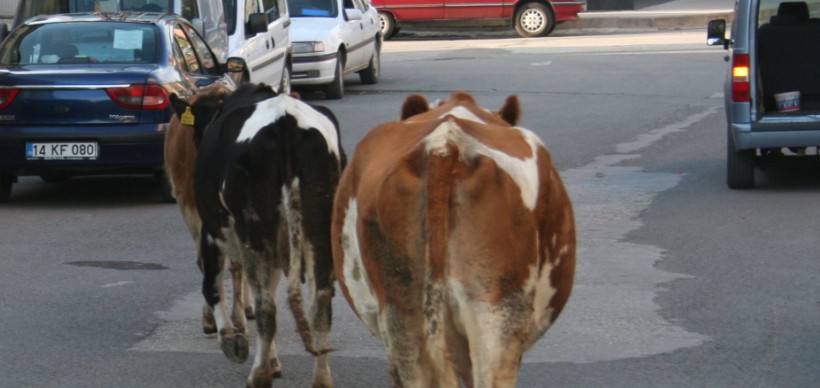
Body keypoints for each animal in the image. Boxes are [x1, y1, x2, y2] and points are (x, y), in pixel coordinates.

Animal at [170, 83, 342, 386]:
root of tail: (286, 120)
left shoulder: (211, 232)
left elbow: (211, 285)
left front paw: (231, 339)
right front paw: (272, 361)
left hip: (254, 230)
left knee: (265, 308)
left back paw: (258, 375)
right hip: (318, 229)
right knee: (319, 304)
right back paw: (321, 379)